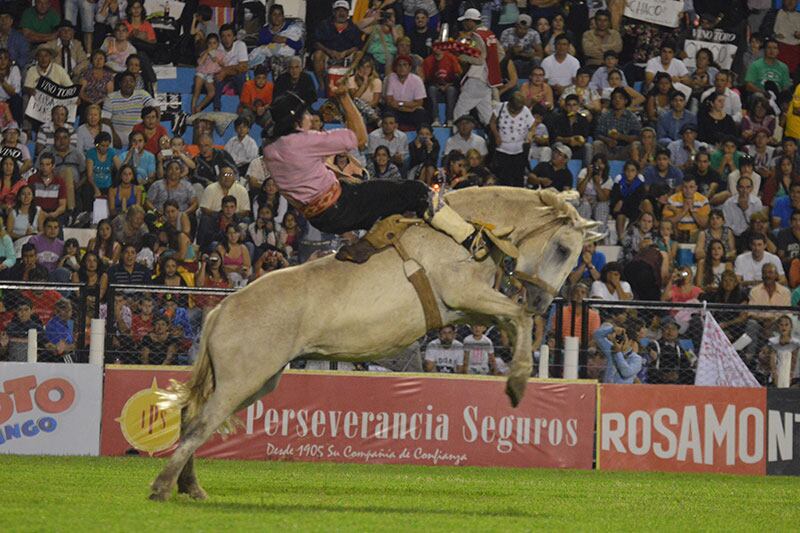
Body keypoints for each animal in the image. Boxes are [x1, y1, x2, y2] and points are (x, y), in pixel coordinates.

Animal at [148, 186, 600, 498]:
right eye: (562, 248)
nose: (542, 301)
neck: (467, 234)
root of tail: (222, 310)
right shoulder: (463, 294)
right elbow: (518, 317)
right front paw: (519, 382)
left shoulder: (470, 310)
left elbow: (512, 320)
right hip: (241, 380)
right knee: (200, 424)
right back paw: (163, 486)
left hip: (255, 381)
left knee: (195, 419)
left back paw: (190, 486)